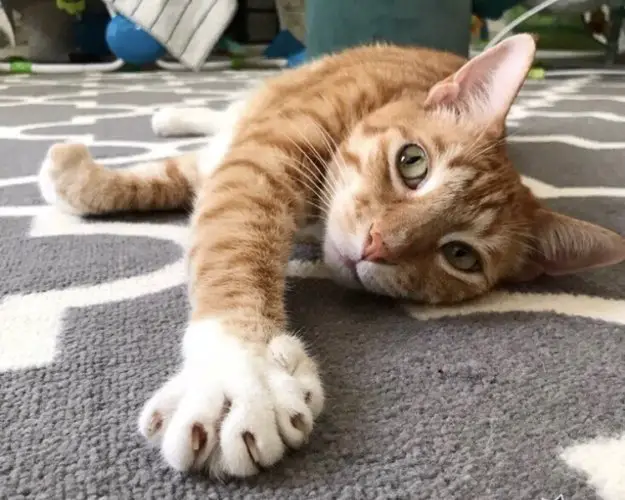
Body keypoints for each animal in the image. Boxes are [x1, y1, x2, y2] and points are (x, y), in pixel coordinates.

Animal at [37, 33, 624, 478]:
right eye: (413, 163)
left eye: (460, 255)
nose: (378, 244)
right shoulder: (256, 160)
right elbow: (227, 237)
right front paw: (239, 370)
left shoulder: (233, 161)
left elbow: (180, 182)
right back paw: (181, 111)